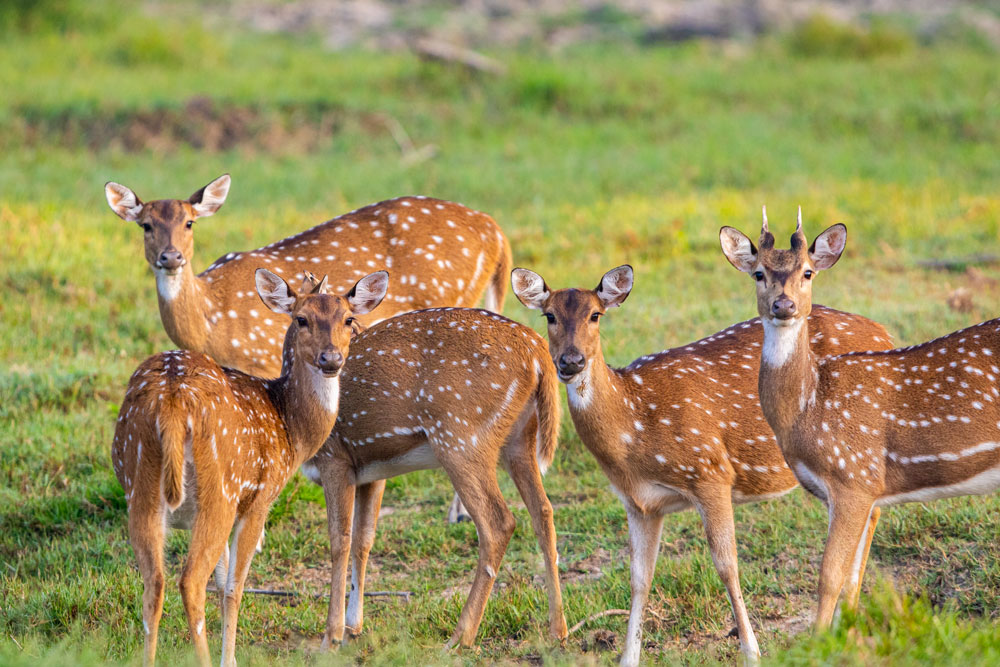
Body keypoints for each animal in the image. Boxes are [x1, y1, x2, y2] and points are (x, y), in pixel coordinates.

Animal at [105, 174, 509, 523]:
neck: (213, 323)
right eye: (145, 225)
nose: (171, 257)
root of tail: (497, 232)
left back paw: (459, 512)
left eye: (189, 223)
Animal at [111, 268, 388, 667]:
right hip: (220, 492)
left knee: (155, 583)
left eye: (347, 319)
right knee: (190, 580)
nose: (331, 358)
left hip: (140, 486)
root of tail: (173, 401)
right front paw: (230, 659)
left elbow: (222, 581)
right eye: (301, 318)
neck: (290, 429)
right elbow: (233, 587)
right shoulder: (259, 499)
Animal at [292, 306, 567, 650]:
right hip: (519, 439)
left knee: (499, 523)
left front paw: (331, 637)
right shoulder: (369, 472)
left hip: (460, 436)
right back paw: (558, 630)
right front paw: (354, 627)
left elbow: (339, 540)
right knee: (543, 511)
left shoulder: (335, 458)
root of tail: (537, 351)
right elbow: (363, 539)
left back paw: (460, 638)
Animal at [510, 264, 892, 666]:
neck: (635, 428)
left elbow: (727, 565)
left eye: (595, 314)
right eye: (549, 315)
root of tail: (884, 332)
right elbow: (639, 577)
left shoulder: (710, 471)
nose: (571, 361)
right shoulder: (639, 503)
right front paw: (628, 657)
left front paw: (752, 651)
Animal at [720, 208, 1000, 631]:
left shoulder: (855, 476)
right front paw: (846, 634)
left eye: (807, 272)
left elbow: (829, 576)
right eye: (758, 273)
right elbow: (853, 575)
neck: (809, 410)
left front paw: (819, 639)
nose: (783, 305)